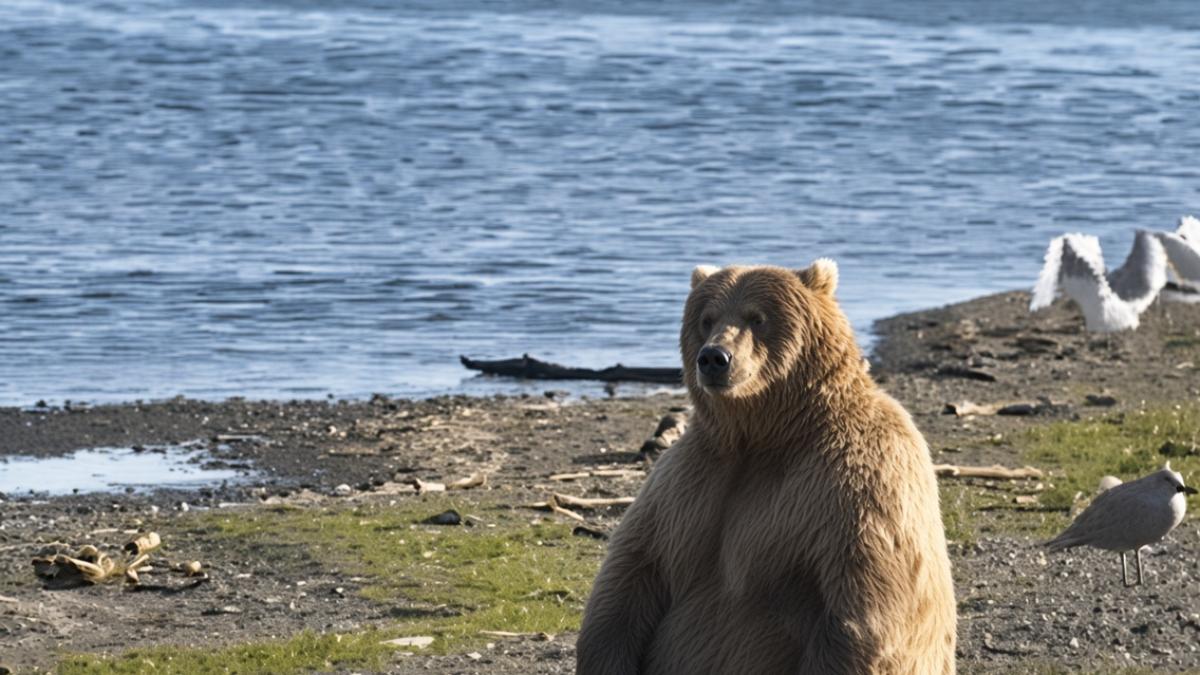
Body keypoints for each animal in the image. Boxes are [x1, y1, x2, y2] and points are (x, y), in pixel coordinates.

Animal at [576, 261, 956, 675]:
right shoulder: (688, 481)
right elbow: (631, 573)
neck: (763, 436)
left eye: (757, 317)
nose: (714, 357)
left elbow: (866, 604)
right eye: (707, 318)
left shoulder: (859, 477)